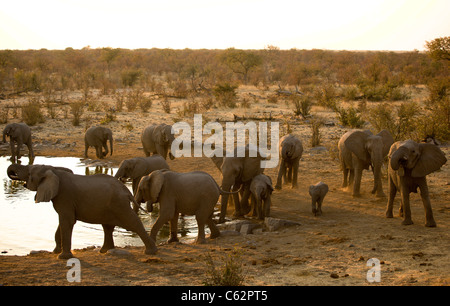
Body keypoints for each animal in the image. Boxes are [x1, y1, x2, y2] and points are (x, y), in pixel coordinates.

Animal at [6, 163, 158, 258]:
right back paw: (104, 251)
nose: (13, 174)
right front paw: (55, 252)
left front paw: (63, 257)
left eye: (29, 173)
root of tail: (126, 191)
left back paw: (151, 252)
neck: (53, 170)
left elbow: (66, 221)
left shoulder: (65, 196)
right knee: (107, 227)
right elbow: (64, 222)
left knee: (133, 223)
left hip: (119, 205)